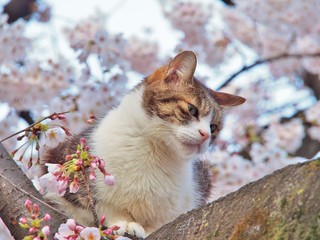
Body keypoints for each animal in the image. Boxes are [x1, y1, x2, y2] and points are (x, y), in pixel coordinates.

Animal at [40, 50, 245, 238]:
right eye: (192, 110)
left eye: (214, 127)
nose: (205, 136)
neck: (156, 150)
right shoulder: (66, 161)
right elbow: (101, 206)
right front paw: (123, 222)